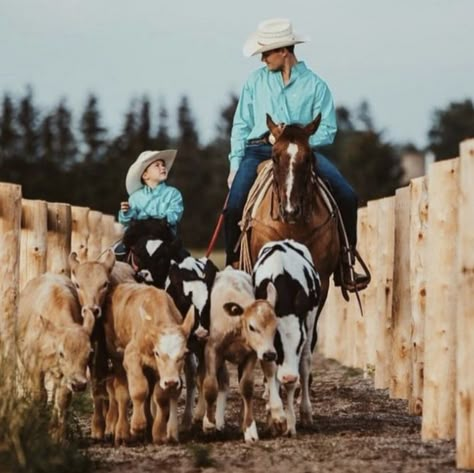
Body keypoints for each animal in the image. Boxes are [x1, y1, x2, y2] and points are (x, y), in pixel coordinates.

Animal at [16, 272, 92, 438]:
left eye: (90, 353)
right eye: (62, 353)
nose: (79, 384)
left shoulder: (66, 376)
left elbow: (62, 399)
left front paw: (58, 435)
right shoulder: (35, 368)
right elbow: (40, 395)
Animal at [103, 282, 194, 444]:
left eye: (184, 353)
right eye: (157, 353)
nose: (172, 382)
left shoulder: (159, 373)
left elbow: (160, 397)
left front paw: (159, 432)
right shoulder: (131, 356)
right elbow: (139, 389)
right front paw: (138, 426)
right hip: (115, 357)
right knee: (117, 391)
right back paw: (119, 431)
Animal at [202, 268, 284, 440]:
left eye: (275, 327)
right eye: (252, 327)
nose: (270, 354)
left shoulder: (252, 354)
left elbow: (246, 387)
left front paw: (250, 429)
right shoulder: (212, 349)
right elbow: (211, 386)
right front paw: (208, 423)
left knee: (269, 373)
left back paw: (277, 414)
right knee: (224, 381)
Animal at [252, 240, 322, 436]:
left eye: (299, 343)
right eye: (276, 341)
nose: (289, 377)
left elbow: (293, 380)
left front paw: (289, 422)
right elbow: (270, 370)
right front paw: (275, 414)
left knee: (305, 366)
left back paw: (305, 413)